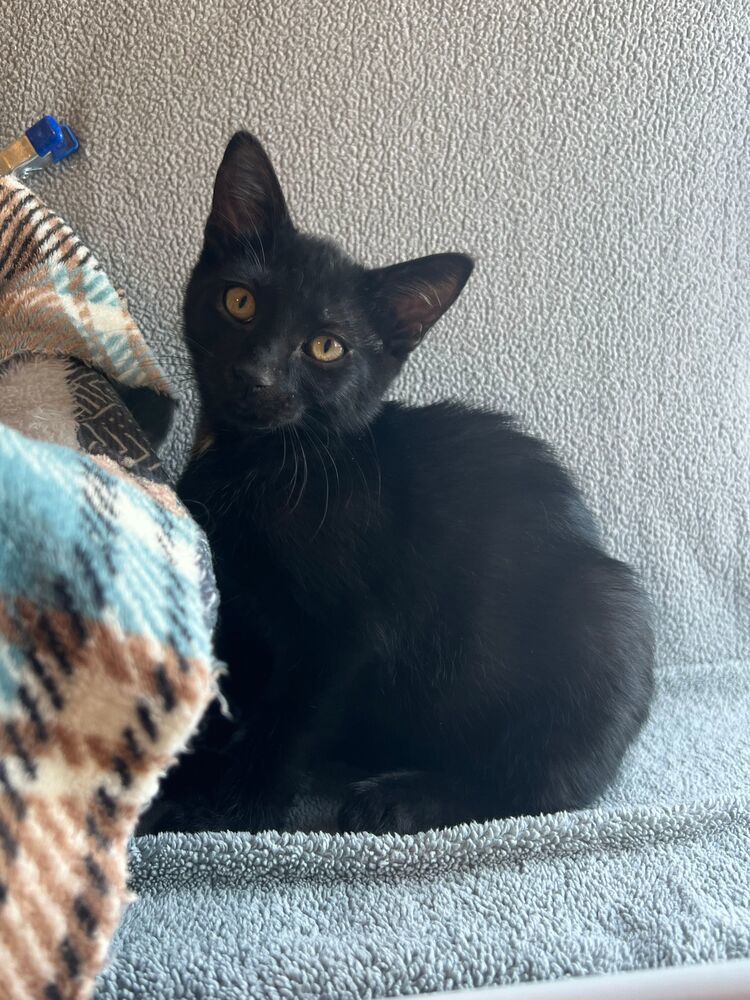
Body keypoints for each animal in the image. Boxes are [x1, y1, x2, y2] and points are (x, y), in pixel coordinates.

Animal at [140, 133, 652, 836]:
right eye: (240, 302)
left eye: (326, 347)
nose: (257, 377)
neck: (261, 464)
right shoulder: (238, 613)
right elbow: (230, 700)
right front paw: (188, 774)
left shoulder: (349, 634)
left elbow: (289, 721)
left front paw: (234, 807)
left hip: (604, 617)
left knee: (534, 788)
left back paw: (401, 796)